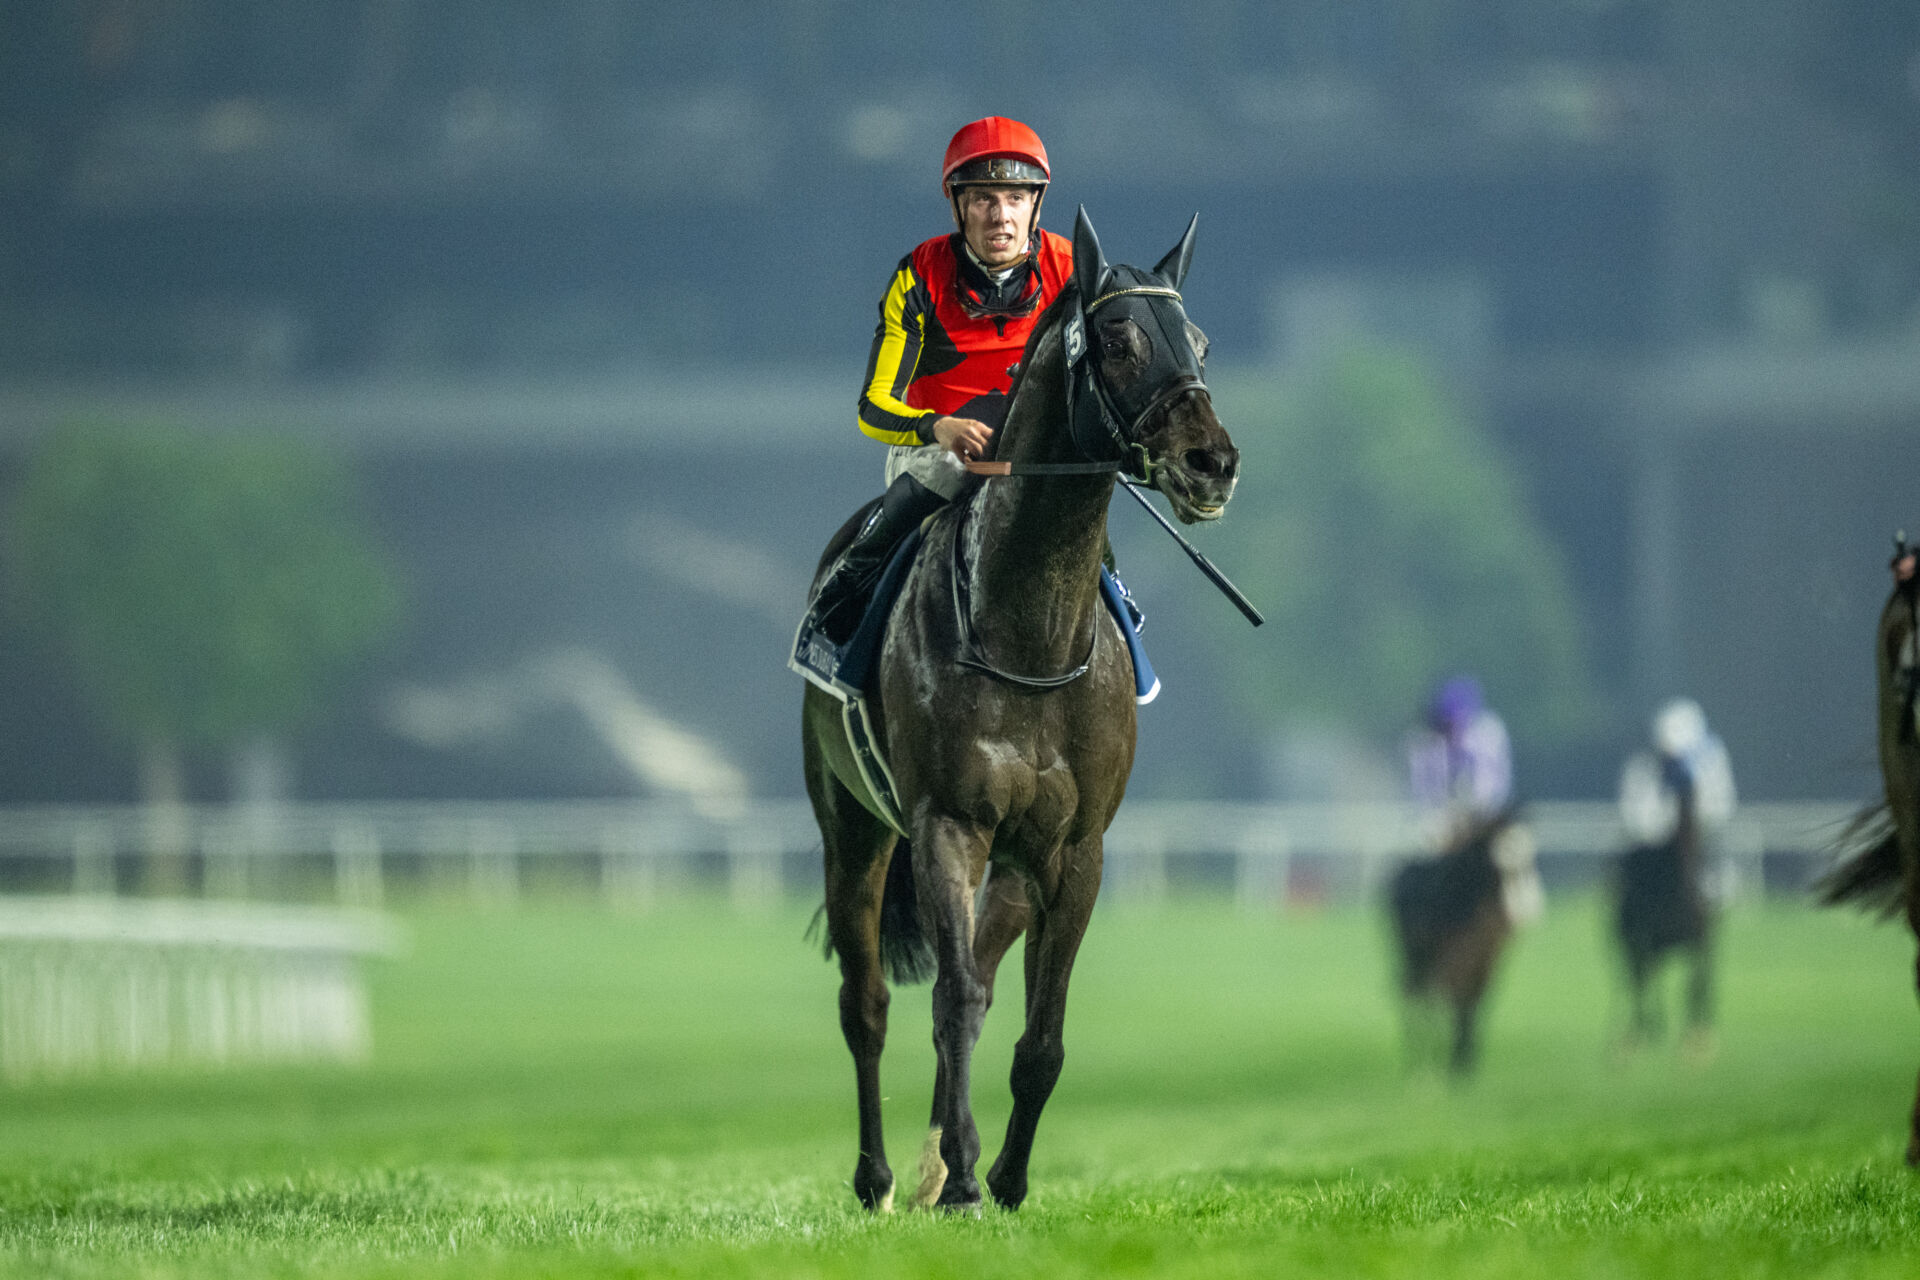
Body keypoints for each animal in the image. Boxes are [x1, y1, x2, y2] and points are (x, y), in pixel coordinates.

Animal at [798, 208, 1236, 1212]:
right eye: (1117, 341)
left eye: (1196, 340)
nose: (1212, 463)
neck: (1028, 630)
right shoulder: (947, 824)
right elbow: (950, 1002)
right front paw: (962, 1173)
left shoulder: (1075, 849)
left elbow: (1038, 1036)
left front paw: (1001, 1176)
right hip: (853, 830)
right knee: (869, 1004)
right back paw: (882, 1176)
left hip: (1012, 863)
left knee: (983, 974)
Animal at [1390, 817, 1536, 1074]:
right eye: (1505, 852)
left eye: (1531, 851)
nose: (1529, 906)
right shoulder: (1454, 959)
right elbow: (1456, 999)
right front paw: (1454, 1062)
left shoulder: (1488, 961)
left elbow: (1475, 1003)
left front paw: (1464, 1060)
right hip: (1414, 955)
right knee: (1413, 993)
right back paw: (1418, 1058)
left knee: (1423, 994)